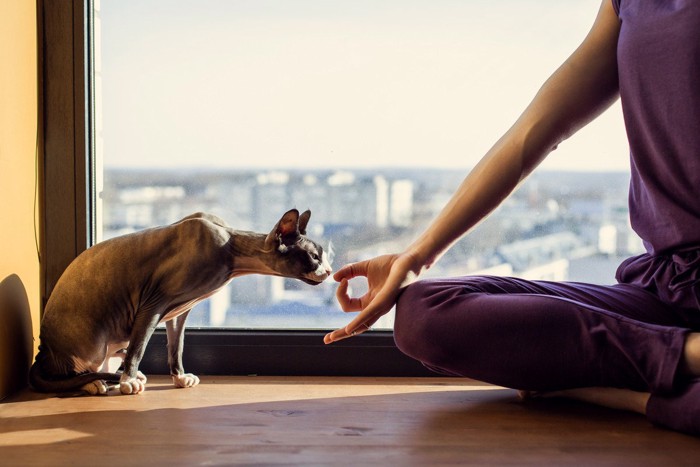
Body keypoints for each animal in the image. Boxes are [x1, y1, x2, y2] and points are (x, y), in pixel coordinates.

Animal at [29, 208, 330, 394]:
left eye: (324, 256)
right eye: (314, 257)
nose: (328, 271)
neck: (230, 250)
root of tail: (43, 350)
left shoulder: (178, 312)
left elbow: (177, 347)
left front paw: (179, 377)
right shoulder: (152, 304)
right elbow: (139, 347)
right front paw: (128, 382)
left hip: (109, 348)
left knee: (106, 363)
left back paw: (119, 377)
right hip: (95, 346)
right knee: (71, 375)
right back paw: (100, 384)